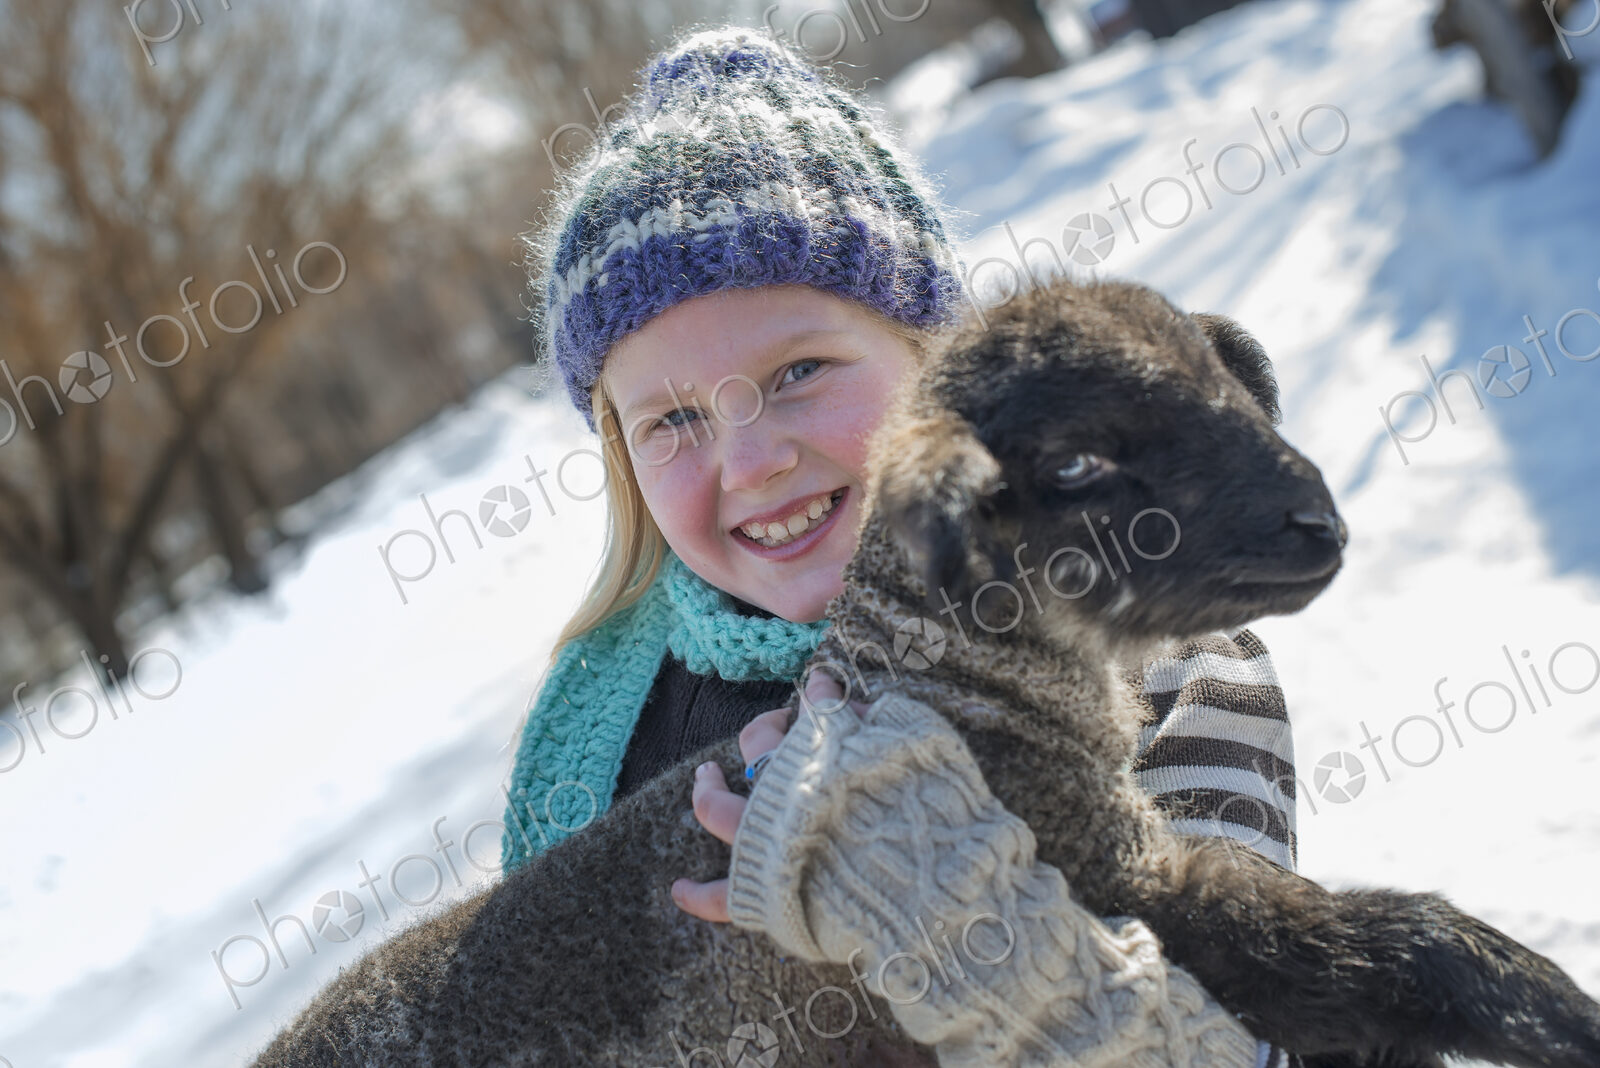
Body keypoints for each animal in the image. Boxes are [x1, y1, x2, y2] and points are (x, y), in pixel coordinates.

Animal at [250, 273, 1600, 1068]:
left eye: (1230, 387)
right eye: (1075, 465)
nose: (1316, 523)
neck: (957, 686)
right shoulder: (1123, 887)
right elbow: (1371, 946)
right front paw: (1551, 1012)